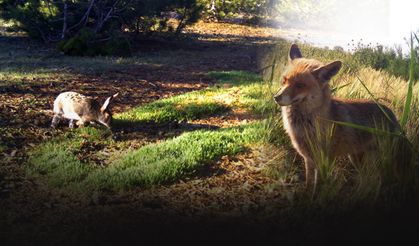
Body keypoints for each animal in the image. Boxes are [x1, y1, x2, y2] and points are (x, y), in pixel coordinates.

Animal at [274, 44, 402, 186]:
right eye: (284, 80)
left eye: (300, 85)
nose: (276, 97)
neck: (308, 125)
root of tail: (391, 113)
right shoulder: (309, 159)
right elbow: (309, 184)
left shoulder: (326, 160)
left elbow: (319, 185)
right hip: (356, 159)